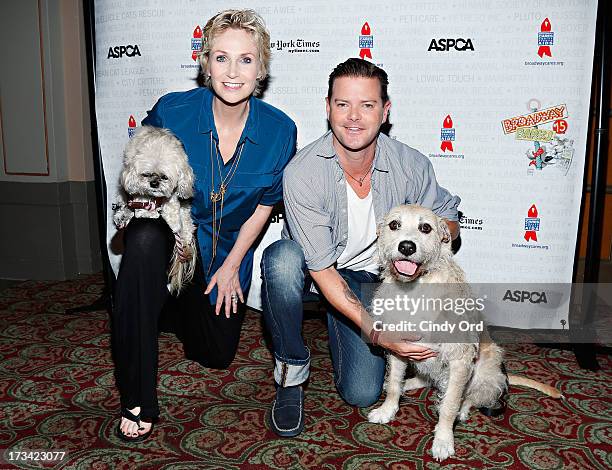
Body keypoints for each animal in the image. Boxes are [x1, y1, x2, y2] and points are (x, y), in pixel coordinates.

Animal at [111, 126, 195, 294]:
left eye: (164, 177)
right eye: (146, 174)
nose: (154, 184)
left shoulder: (177, 191)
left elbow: (174, 205)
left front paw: (175, 223)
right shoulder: (135, 187)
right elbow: (141, 199)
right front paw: (146, 212)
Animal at [366, 205, 560, 462]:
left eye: (425, 227)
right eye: (394, 225)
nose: (407, 247)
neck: (415, 289)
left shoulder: (460, 361)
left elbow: (449, 404)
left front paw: (443, 440)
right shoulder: (399, 348)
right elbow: (395, 384)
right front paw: (388, 409)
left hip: (484, 373)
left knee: (470, 396)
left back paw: (462, 409)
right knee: (427, 379)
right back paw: (411, 383)